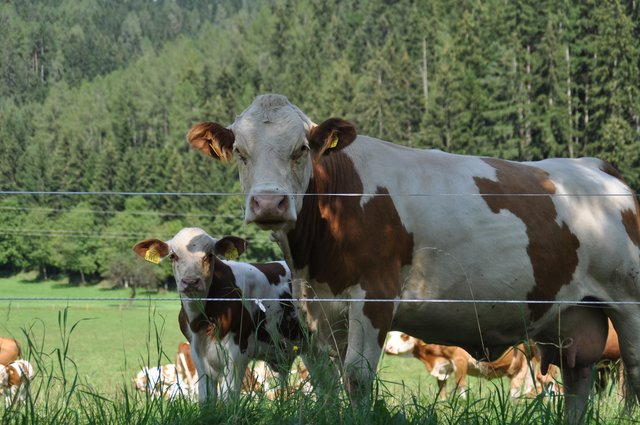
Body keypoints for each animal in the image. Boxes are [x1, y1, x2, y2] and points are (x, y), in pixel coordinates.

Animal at [131, 225, 302, 400]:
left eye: (209, 255)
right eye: (173, 256)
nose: (191, 281)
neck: (202, 322)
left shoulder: (237, 355)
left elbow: (228, 399)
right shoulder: (198, 356)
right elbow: (205, 399)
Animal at [188, 93, 640, 420]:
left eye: (301, 149)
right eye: (240, 152)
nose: (269, 203)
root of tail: (597, 166)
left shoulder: (374, 295)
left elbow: (356, 377)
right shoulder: (315, 307)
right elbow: (326, 381)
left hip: (629, 303)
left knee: (633, 373)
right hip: (577, 314)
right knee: (578, 380)